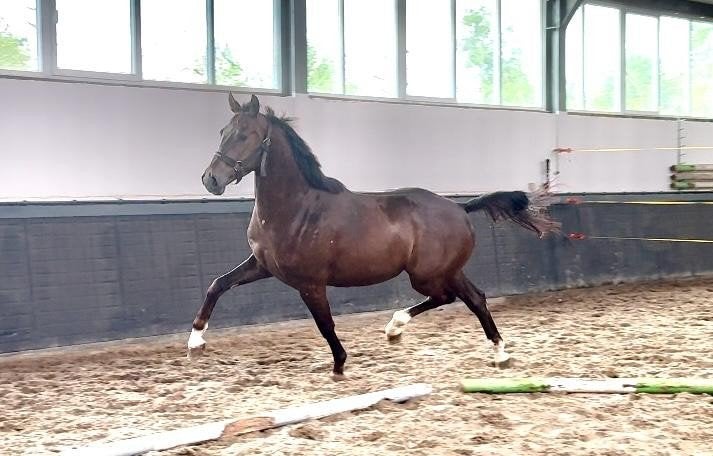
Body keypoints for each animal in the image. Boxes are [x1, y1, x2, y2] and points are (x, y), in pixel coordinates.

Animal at [188, 93, 560, 377]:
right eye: (223, 131)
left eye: (245, 134)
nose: (211, 180)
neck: (296, 208)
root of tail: (460, 208)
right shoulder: (263, 266)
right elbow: (217, 284)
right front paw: (195, 342)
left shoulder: (311, 283)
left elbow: (325, 324)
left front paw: (339, 366)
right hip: (445, 271)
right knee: (470, 298)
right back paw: (484, 350)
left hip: (428, 274)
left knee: (456, 298)